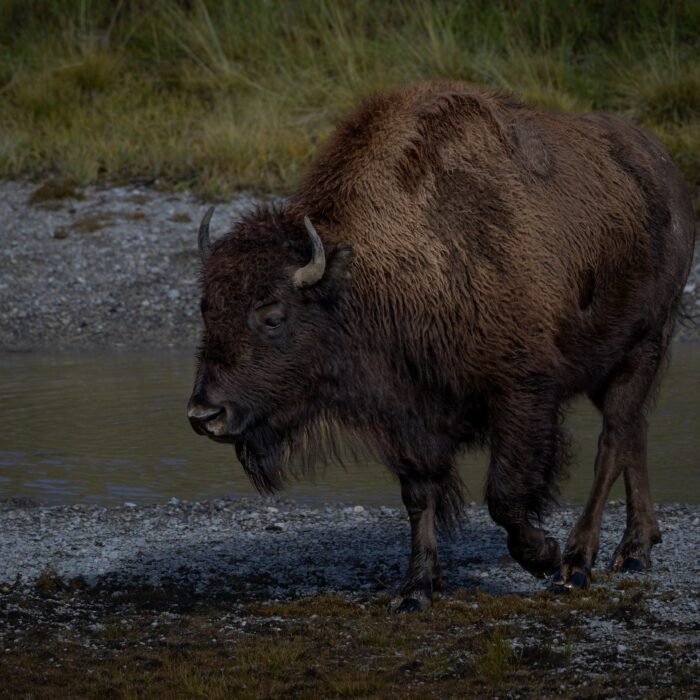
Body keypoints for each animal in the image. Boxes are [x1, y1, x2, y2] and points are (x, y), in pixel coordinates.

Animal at [187, 81, 695, 611]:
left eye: (272, 315)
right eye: (205, 307)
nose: (205, 414)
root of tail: (665, 168)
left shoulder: (522, 393)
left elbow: (505, 496)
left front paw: (544, 556)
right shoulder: (409, 414)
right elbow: (419, 496)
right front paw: (415, 589)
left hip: (642, 345)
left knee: (612, 443)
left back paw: (577, 564)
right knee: (632, 434)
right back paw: (636, 550)